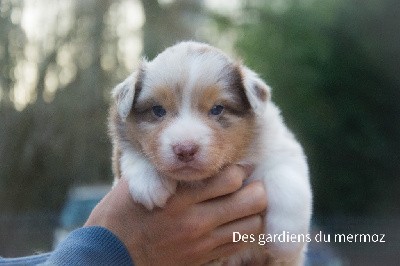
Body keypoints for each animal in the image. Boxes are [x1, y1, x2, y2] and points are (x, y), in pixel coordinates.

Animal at [108, 41, 312, 264]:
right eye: (158, 110)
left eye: (217, 109)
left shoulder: (282, 147)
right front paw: (149, 182)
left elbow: (284, 177)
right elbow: (131, 151)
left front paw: (286, 240)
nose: (185, 150)